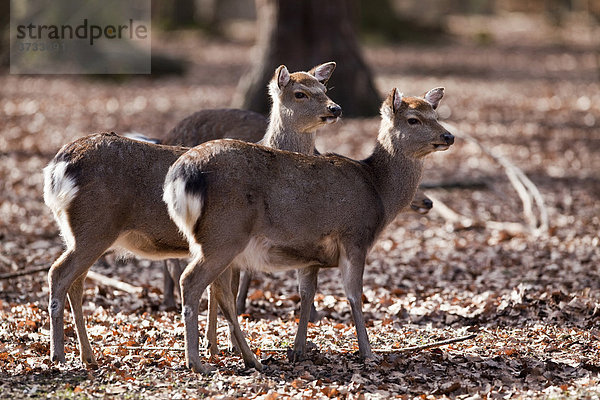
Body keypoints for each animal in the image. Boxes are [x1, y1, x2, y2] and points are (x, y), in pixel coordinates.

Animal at [41, 63, 342, 368]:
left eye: (324, 88)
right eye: (300, 93)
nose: (336, 108)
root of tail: (57, 168)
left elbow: (216, 292)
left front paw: (214, 346)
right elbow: (223, 293)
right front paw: (227, 347)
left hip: (77, 232)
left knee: (76, 282)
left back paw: (87, 355)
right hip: (95, 226)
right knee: (59, 274)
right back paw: (58, 353)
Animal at [162, 86, 452, 374]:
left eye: (435, 114)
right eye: (413, 119)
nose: (448, 136)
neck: (378, 193)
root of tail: (181, 174)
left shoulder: (311, 255)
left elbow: (307, 294)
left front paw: (299, 349)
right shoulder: (354, 237)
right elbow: (354, 296)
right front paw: (367, 353)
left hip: (214, 241)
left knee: (221, 292)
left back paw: (250, 359)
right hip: (223, 234)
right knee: (191, 281)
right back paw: (196, 362)